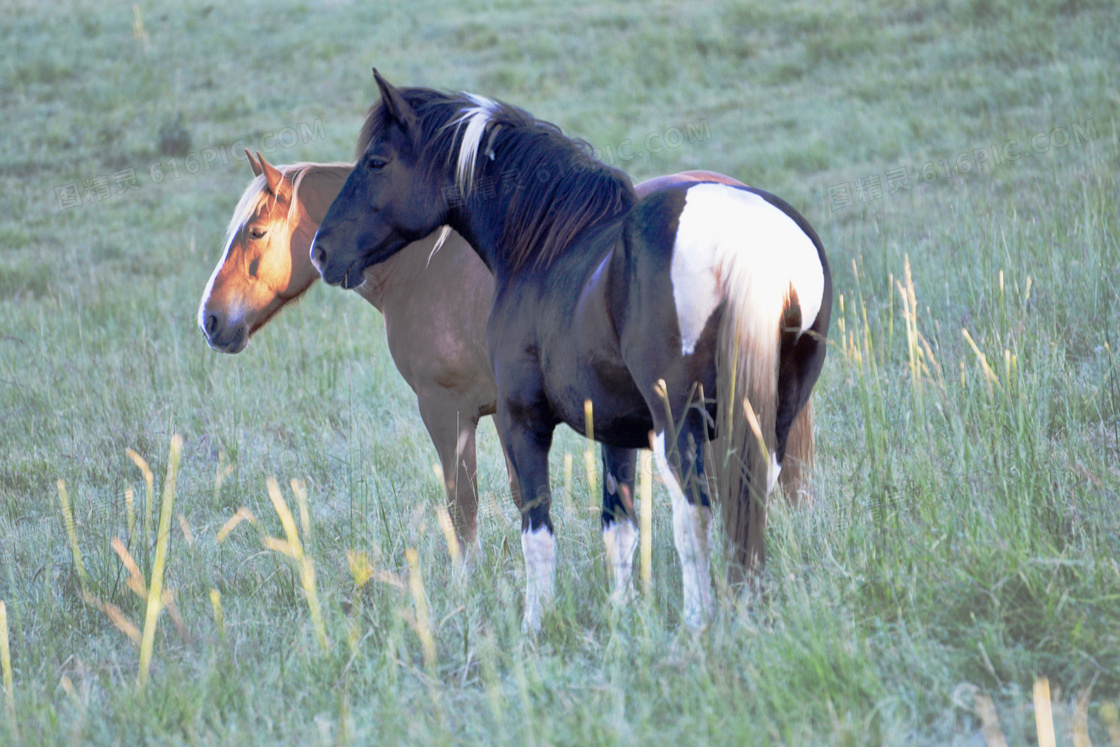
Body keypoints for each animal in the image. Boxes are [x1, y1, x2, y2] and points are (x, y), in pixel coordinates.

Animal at [199, 152, 815, 555]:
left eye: (255, 232)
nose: (210, 320)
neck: (426, 264)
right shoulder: (502, 412)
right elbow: (523, 498)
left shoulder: (448, 411)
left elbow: (463, 507)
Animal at [313, 72, 833, 631]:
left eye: (377, 161)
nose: (320, 251)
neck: (547, 250)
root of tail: (747, 235)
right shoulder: (618, 430)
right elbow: (619, 527)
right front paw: (621, 616)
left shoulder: (522, 421)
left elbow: (537, 529)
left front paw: (534, 625)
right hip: (771, 418)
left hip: (680, 422)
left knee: (694, 512)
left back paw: (698, 623)